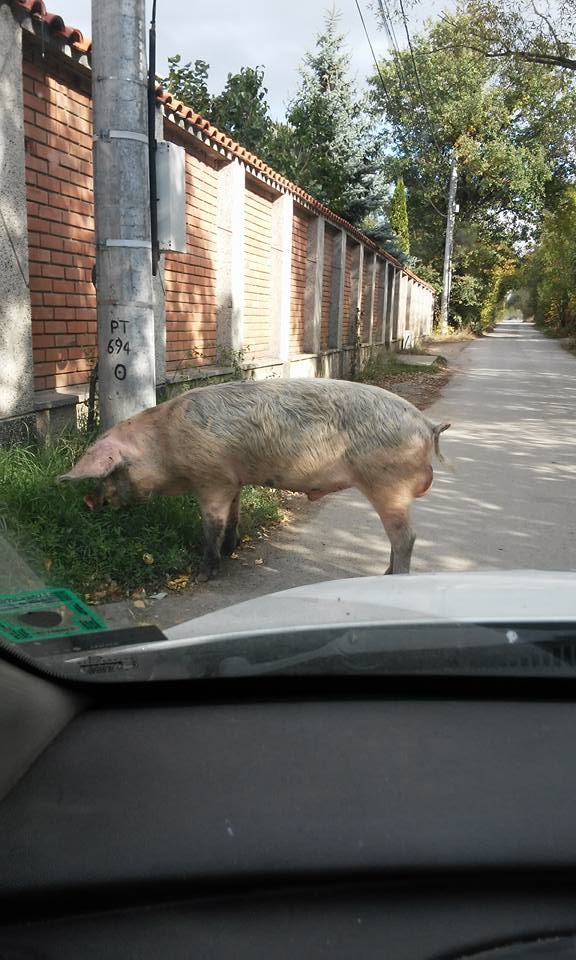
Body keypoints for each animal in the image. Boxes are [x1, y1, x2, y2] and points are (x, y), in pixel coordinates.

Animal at [58, 378, 450, 580]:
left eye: (113, 470)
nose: (88, 502)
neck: (165, 443)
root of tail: (427, 425)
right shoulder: (233, 480)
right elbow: (234, 516)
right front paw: (231, 551)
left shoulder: (211, 478)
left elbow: (211, 526)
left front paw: (204, 574)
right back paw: (384, 574)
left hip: (387, 484)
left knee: (406, 538)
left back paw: (393, 578)